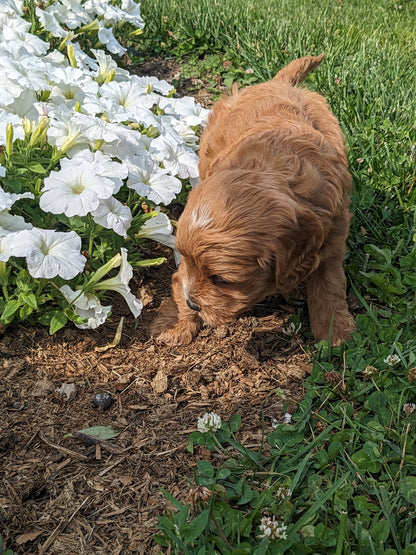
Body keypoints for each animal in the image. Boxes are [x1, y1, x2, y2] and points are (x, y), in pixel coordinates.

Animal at [151, 53, 356, 348]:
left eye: (221, 279)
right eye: (186, 259)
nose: (192, 304)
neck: (274, 170)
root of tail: (279, 82)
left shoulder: (332, 235)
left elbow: (330, 284)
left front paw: (335, 332)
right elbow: (179, 277)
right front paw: (177, 322)